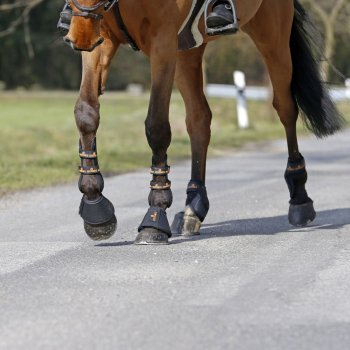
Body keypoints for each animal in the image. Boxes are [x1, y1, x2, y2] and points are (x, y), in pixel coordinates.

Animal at [62, 0, 342, 243]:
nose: (80, 38)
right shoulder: (101, 36)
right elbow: (86, 113)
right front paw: (95, 208)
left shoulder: (162, 44)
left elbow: (157, 127)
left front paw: (155, 216)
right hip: (188, 49)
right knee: (199, 118)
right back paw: (193, 207)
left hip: (272, 37)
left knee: (285, 109)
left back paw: (299, 198)